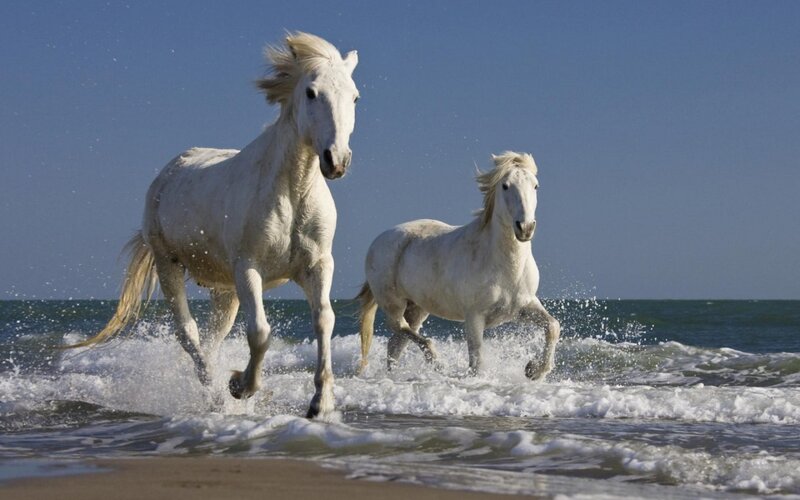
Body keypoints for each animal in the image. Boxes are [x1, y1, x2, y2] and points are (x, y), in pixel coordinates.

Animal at [69, 32, 360, 419]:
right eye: (311, 92)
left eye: (355, 96)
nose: (336, 160)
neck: (292, 191)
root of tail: (169, 171)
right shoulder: (248, 268)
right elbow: (260, 332)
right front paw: (240, 386)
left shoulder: (318, 266)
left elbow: (324, 320)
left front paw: (319, 403)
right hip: (170, 266)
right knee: (188, 334)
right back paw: (216, 397)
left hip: (225, 291)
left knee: (211, 340)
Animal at [356, 152, 560, 380]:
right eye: (505, 186)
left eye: (536, 186)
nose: (525, 228)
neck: (505, 267)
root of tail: (378, 240)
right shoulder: (474, 317)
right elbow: (477, 361)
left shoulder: (523, 307)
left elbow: (553, 326)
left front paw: (534, 370)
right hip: (393, 303)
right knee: (401, 328)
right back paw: (435, 361)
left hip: (417, 308)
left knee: (396, 343)